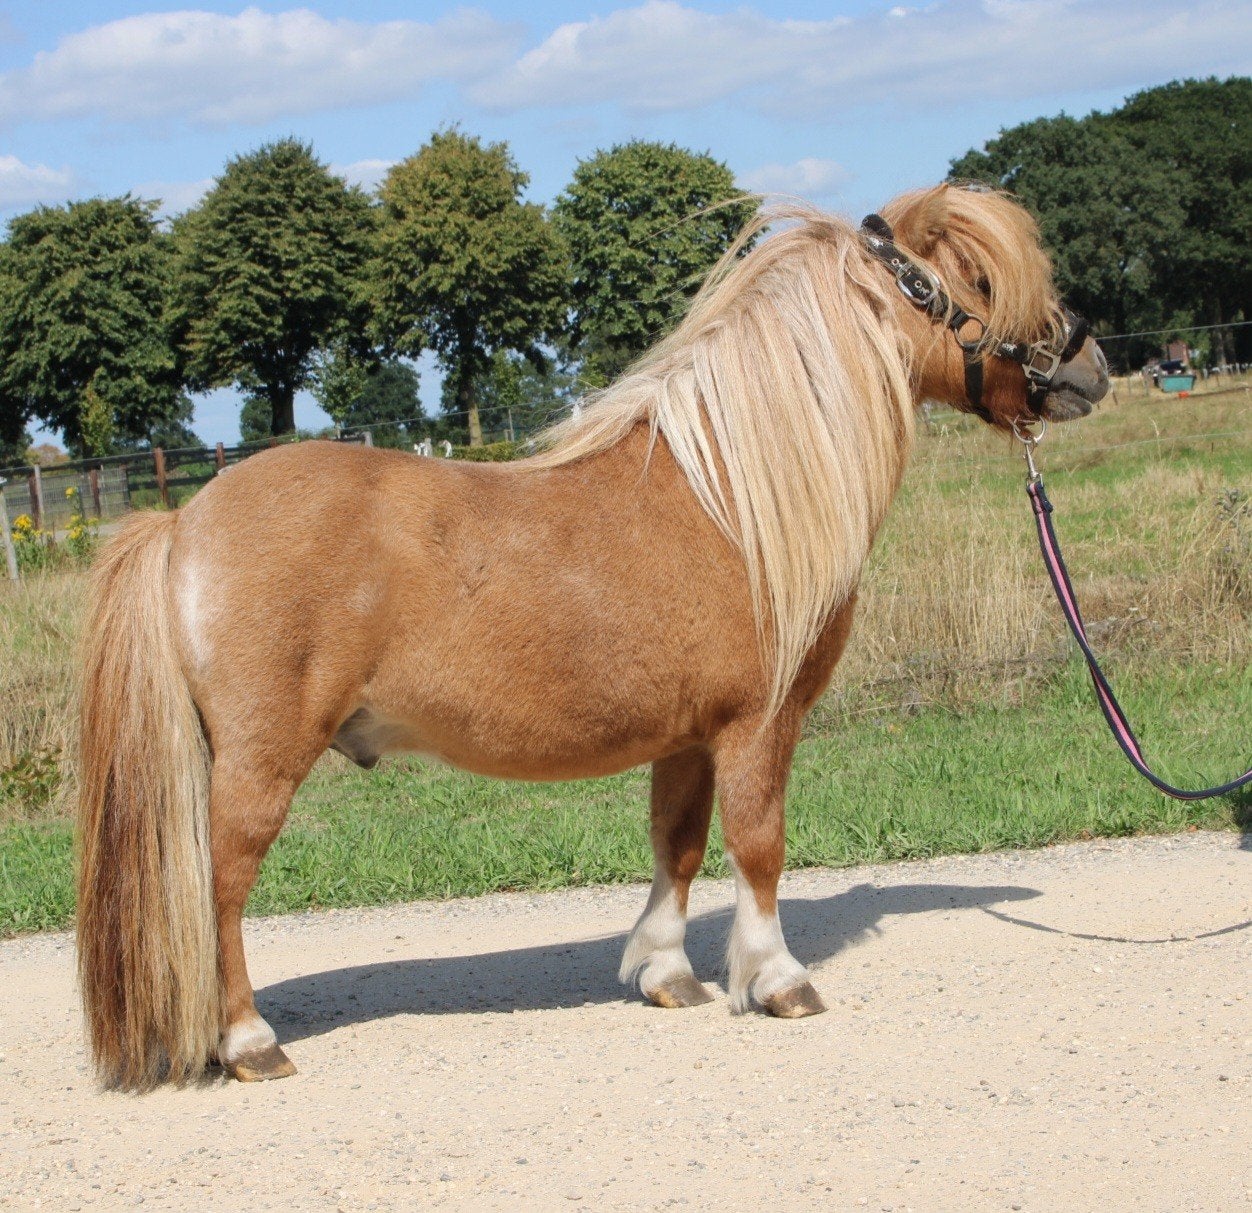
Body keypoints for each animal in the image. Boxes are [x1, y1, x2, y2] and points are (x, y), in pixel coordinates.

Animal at [76, 185, 1109, 1089]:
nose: (1088, 363)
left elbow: (678, 846)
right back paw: (250, 1041)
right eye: (981, 278)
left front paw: (667, 972)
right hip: (260, 761)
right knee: (223, 884)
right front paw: (777, 978)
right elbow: (760, 844)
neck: (729, 495)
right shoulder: (759, 723)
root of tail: (182, 522)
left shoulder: (688, 736)